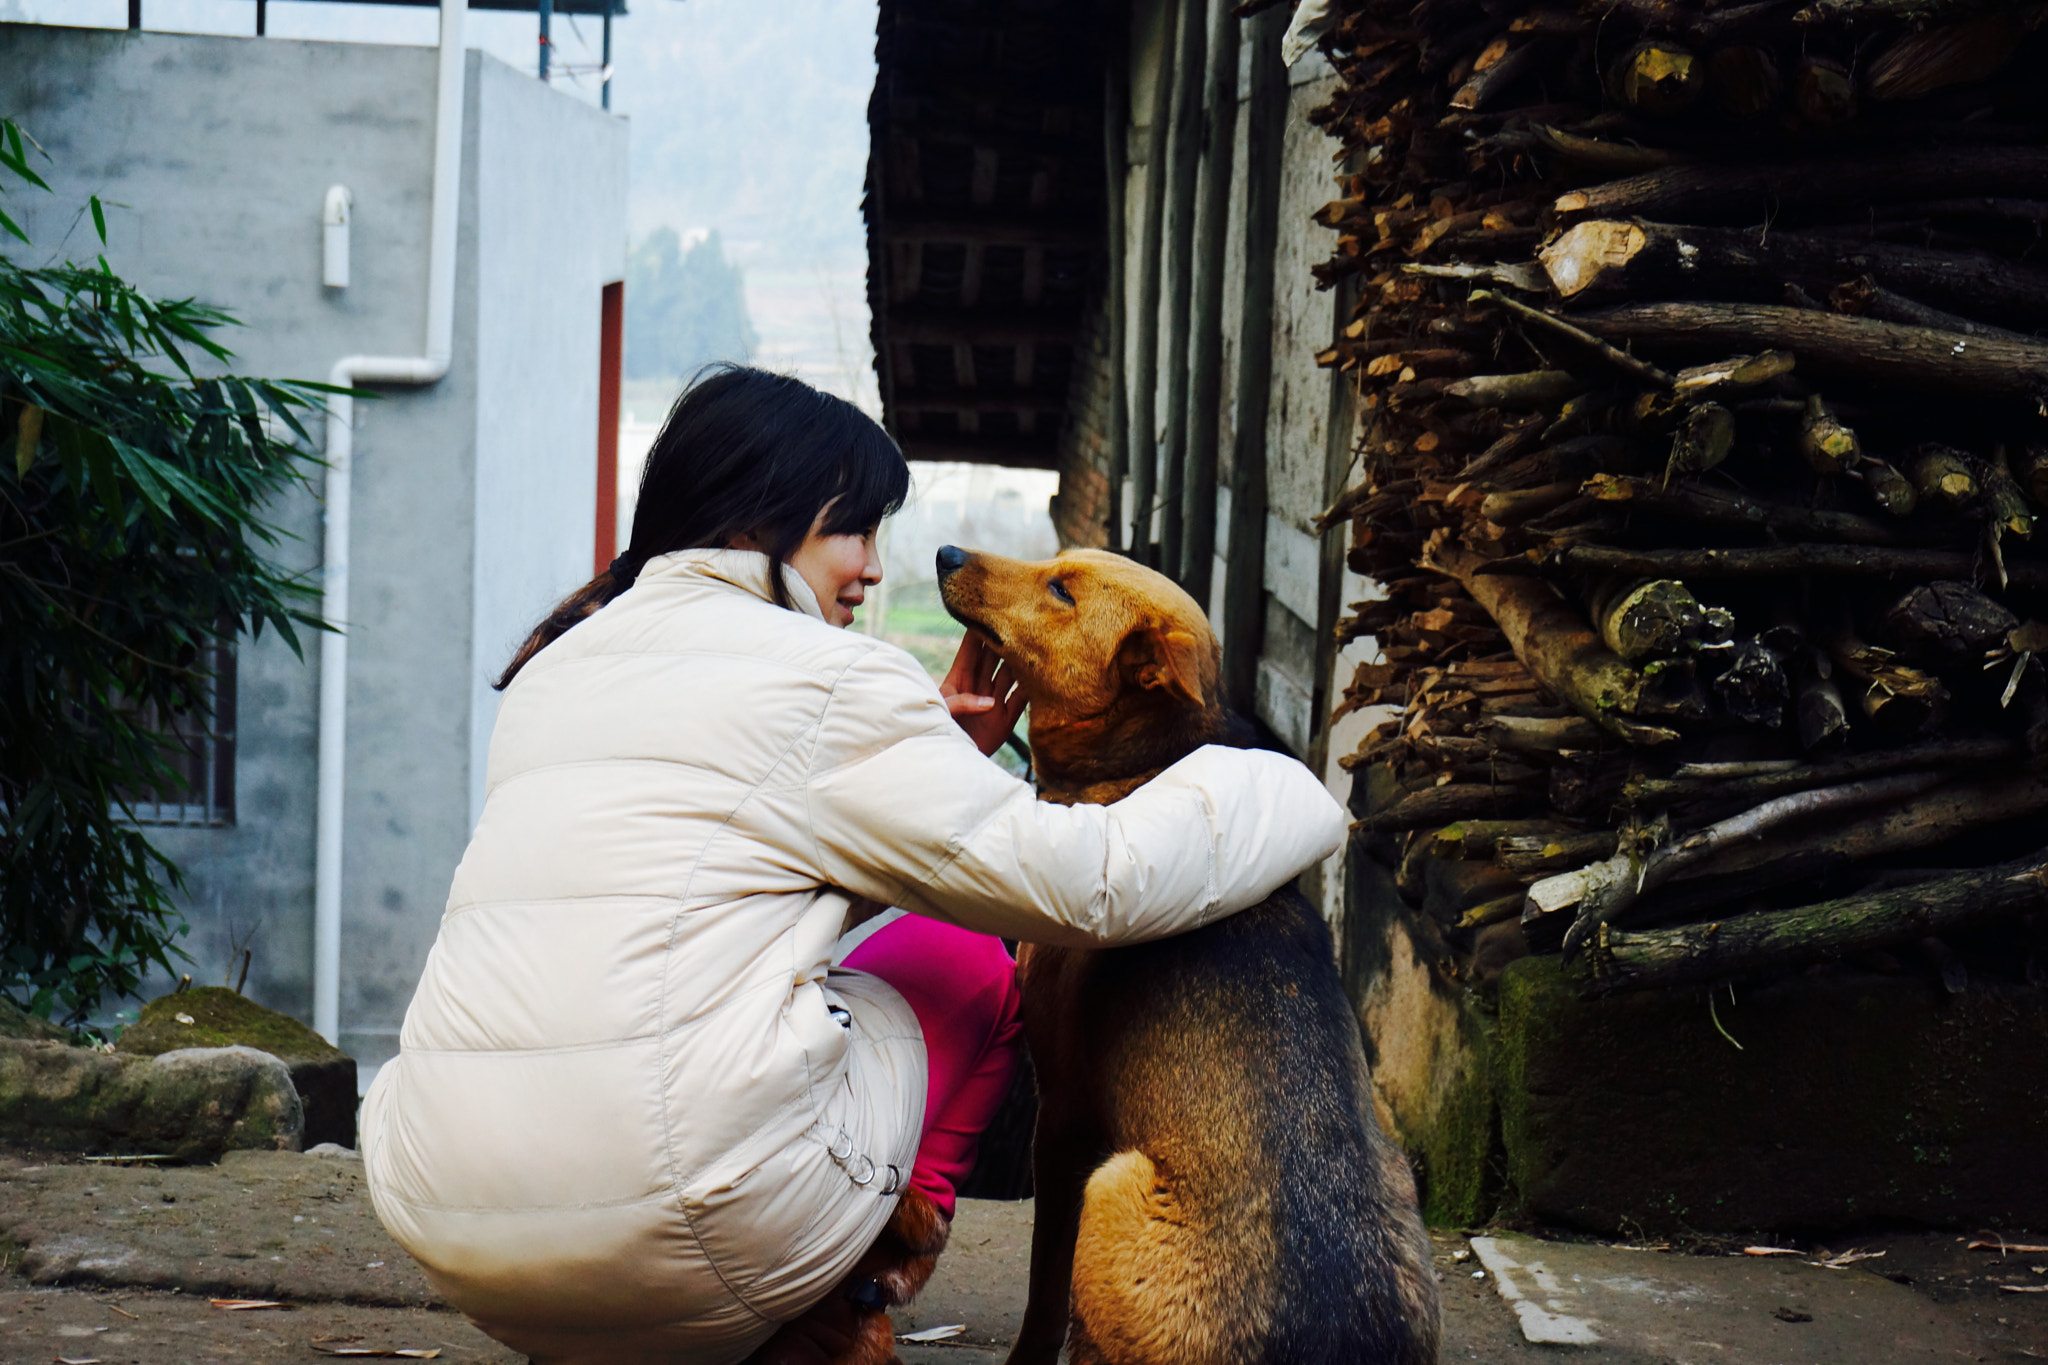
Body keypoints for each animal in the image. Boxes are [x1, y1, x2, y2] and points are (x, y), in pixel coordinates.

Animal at [937, 544, 1433, 1365]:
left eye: (1061, 589)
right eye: (1058, 567)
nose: (946, 551)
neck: (1143, 764)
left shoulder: (1063, 1113)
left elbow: (1044, 1286)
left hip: (1111, 1181)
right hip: (1398, 1172)